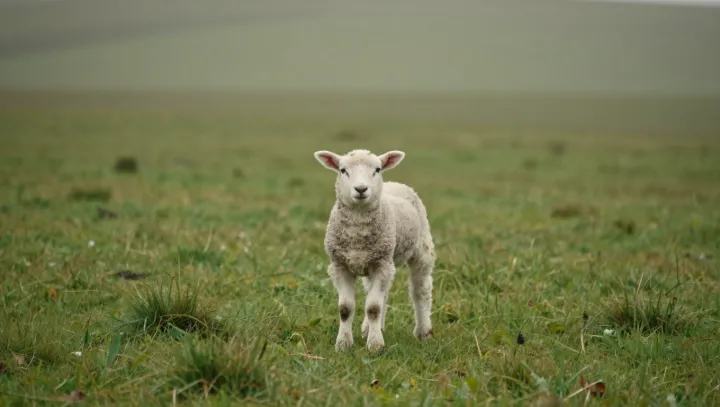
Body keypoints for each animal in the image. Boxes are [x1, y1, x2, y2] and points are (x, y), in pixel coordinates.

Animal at [313, 149, 436, 352]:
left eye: (377, 169)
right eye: (343, 170)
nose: (361, 189)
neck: (358, 226)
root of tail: (394, 183)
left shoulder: (381, 264)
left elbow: (373, 307)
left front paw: (375, 345)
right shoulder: (340, 265)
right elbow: (345, 308)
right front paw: (343, 344)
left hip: (420, 250)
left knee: (421, 290)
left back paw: (423, 331)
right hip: (376, 260)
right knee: (380, 293)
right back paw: (369, 328)